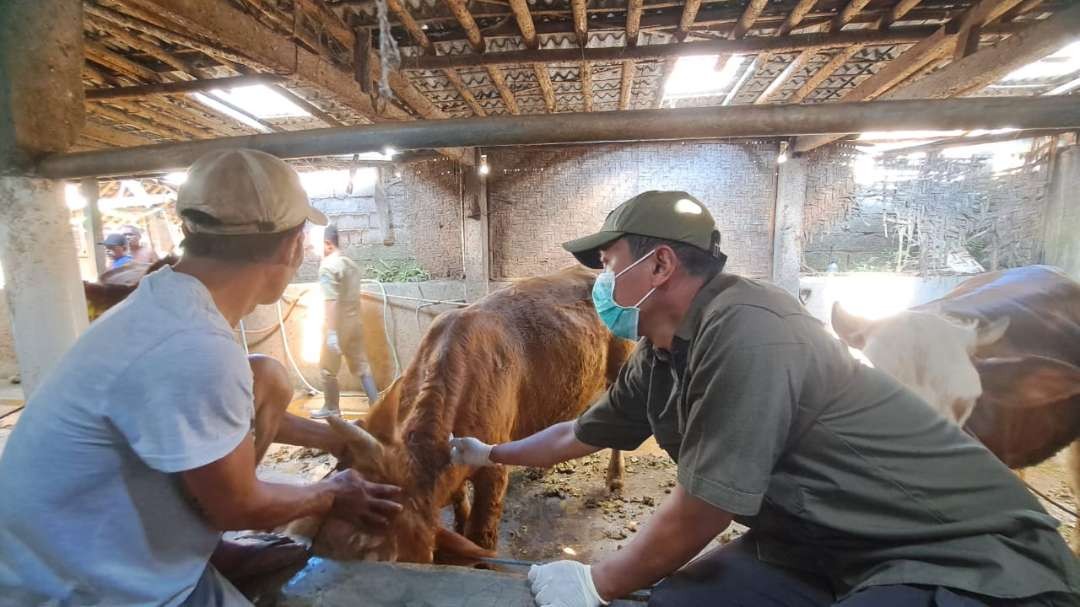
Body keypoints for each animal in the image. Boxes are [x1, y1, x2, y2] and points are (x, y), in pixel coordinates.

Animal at [291, 266, 635, 561]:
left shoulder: (494, 469)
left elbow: (482, 534)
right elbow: (458, 499)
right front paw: (459, 521)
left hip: (621, 364)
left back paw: (615, 479)